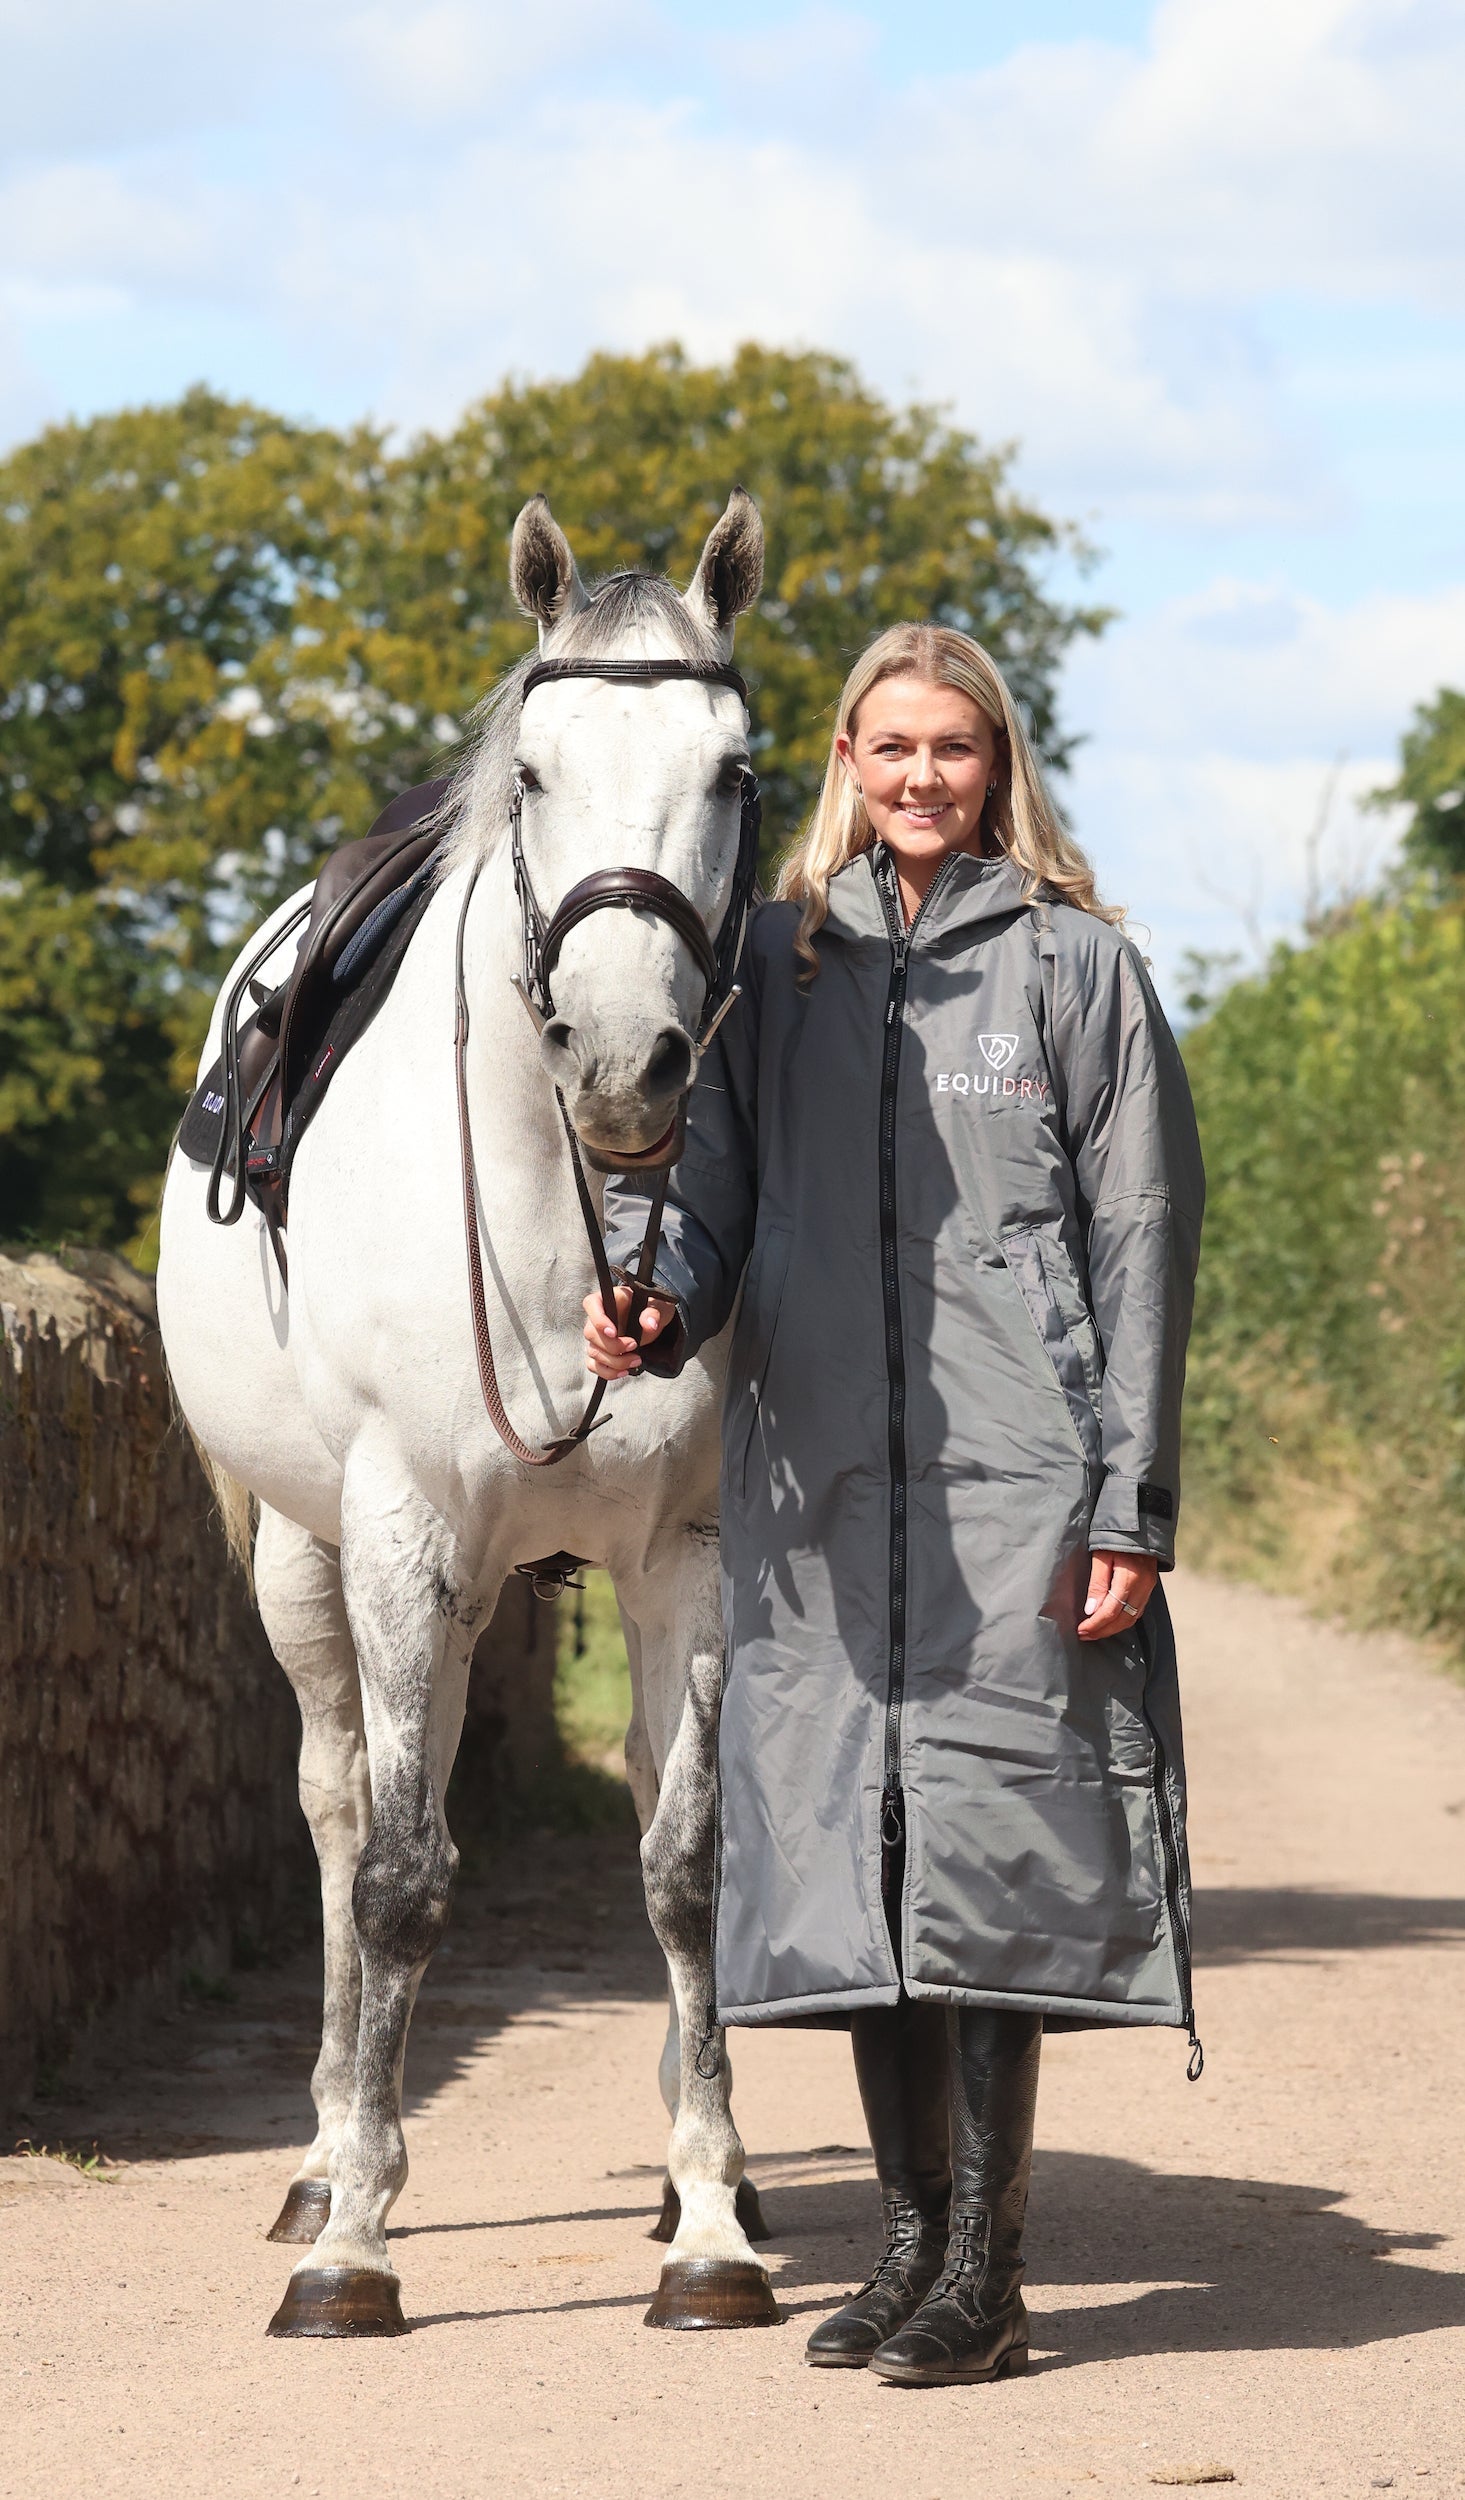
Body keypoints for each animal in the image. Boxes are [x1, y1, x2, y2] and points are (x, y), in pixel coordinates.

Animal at [156, 489, 777, 2338]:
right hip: (313, 1564)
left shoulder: (689, 1557)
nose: (629, 1065)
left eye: (735, 771)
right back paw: (323, 2159)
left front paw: (711, 2223)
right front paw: (355, 2238)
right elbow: (398, 1877)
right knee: (347, 1807)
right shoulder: (400, 1534)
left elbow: (685, 1864)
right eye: (536, 773)